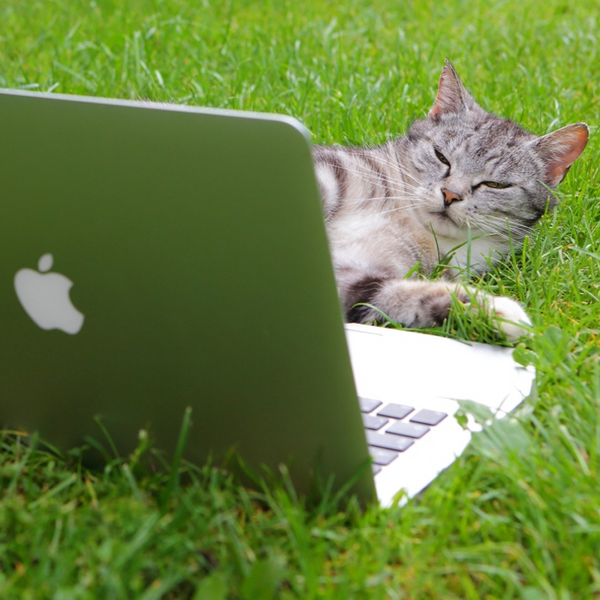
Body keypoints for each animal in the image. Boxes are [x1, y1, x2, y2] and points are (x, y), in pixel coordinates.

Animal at [312, 61, 588, 342]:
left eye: (496, 185)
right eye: (441, 156)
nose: (450, 194)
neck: (408, 223)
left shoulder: (353, 278)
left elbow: (400, 296)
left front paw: (494, 311)